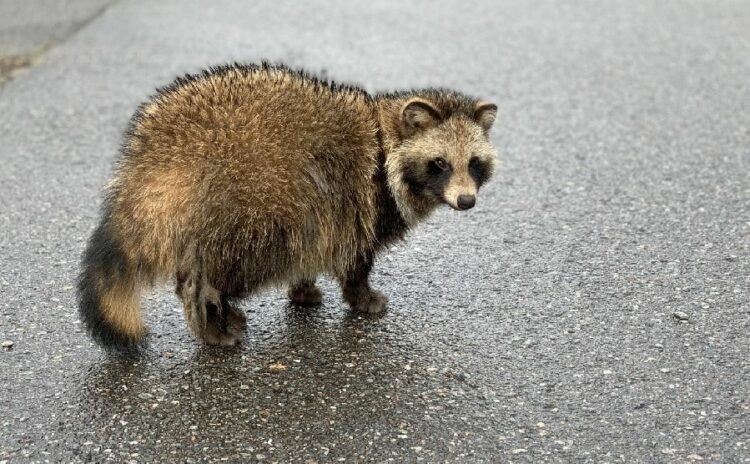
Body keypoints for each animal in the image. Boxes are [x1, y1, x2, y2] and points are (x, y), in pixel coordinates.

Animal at [77, 62, 498, 351]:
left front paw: (303, 286)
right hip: (241, 202)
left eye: (473, 163)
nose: (466, 200)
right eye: (440, 163)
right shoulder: (361, 199)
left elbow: (315, 242)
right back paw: (212, 317)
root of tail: (149, 157)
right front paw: (361, 295)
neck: (385, 139)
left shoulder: (325, 207)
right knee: (227, 266)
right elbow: (354, 256)